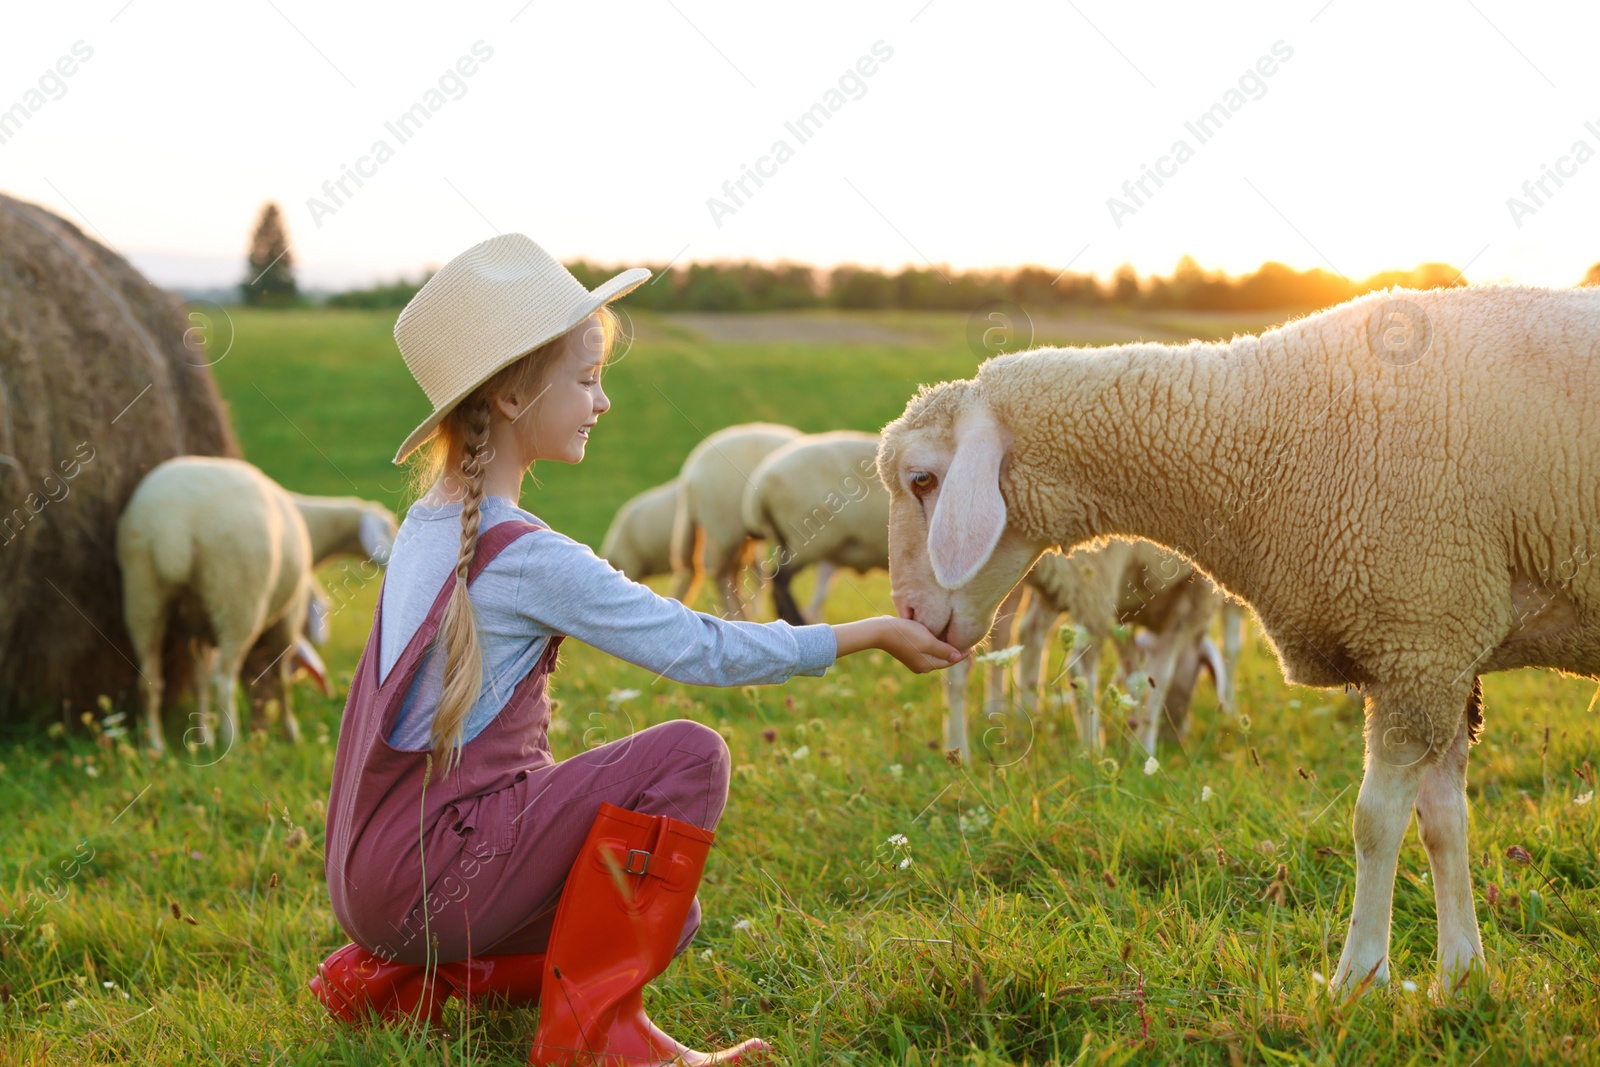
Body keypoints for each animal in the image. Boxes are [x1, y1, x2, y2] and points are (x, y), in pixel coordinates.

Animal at [116, 454, 396, 755]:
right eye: (392, 527)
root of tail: (174, 526)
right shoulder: (289, 615)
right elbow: (280, 676)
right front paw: (290, 733)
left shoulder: (193, 628)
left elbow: (199, 681)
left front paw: (203, 736)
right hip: (237, 597)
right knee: (223, 678)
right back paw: (232, 743)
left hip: (143, 595)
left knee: (150, 680)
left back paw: (156, 746)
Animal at [672, 415, 806, 617]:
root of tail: (689, 474)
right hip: (724, 528)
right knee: (722, 577)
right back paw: (738, 615)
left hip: (737, 535)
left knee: (733, 575)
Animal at [876, 286, 1600, 1004]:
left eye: (921, 480)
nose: (907, 613)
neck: (1258, 431)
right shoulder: (1438, 645)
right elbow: (1443, 823)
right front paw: (1460, 978)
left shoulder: (1418, 633)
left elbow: (1375, 823)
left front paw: (1358, 979)